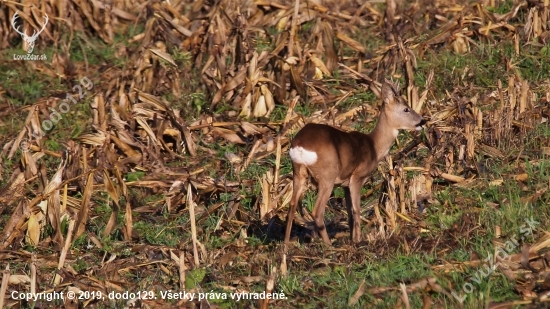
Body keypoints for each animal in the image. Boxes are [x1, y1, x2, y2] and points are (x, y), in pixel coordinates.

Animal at [286, 79, 424, 245]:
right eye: (406, 109)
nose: (422, 121)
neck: (374, 146)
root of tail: (299, 146)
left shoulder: (345, 184)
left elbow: (350, 213)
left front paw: (353, 239)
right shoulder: (357, 177)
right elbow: (356, 210)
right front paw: (358, 241)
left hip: (298, 172)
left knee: (291, 206)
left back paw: (285, 247)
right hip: (327, 175)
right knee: (317, 211)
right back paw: (329, 245)